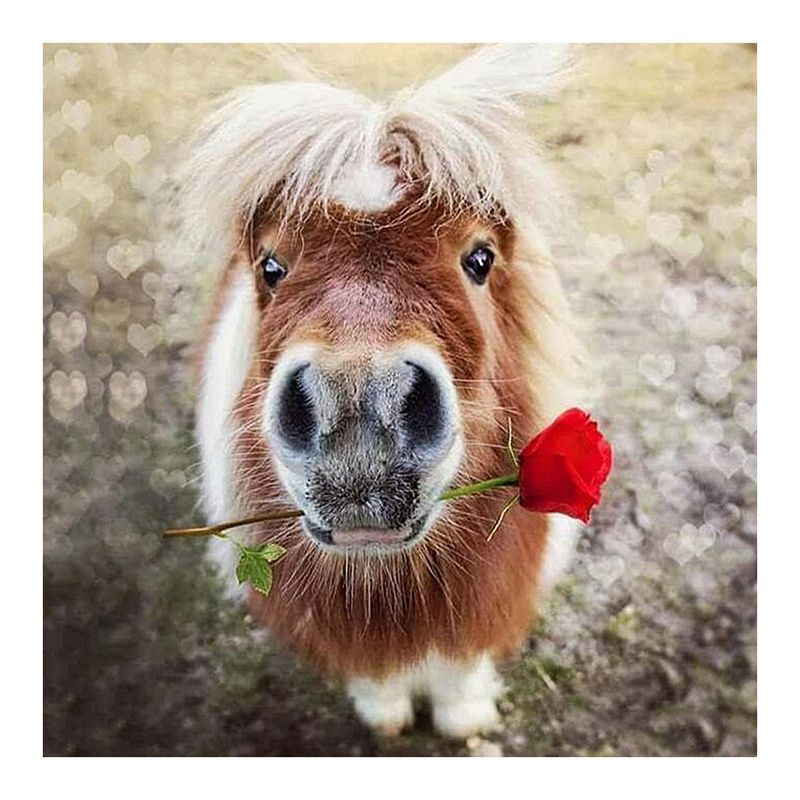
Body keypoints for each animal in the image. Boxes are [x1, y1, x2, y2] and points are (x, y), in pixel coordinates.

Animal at [183, 44, 583, 738]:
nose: (356, 412)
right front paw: (386, 716)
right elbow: (375, 674)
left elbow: (460, 671)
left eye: (480, 258)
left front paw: (462, 719)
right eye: (270, 266)